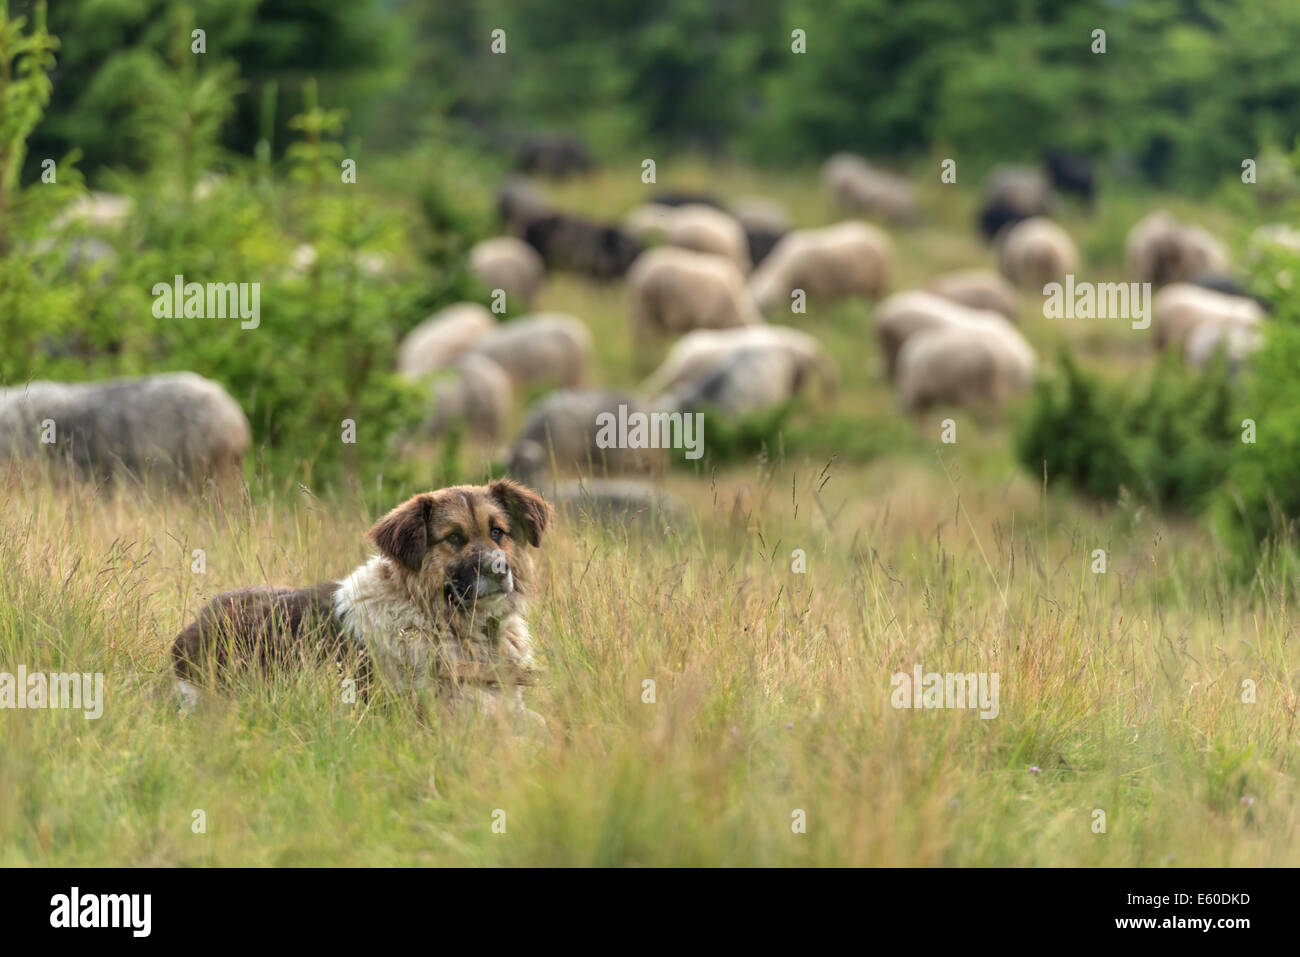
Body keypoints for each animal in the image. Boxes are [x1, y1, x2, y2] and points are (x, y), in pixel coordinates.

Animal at [754, 221, 894, 312]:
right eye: (757, 300)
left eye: (769, 301)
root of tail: (880, 235)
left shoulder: (822, 288)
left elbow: (823, 314)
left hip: (878, 285)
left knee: (875, 303)